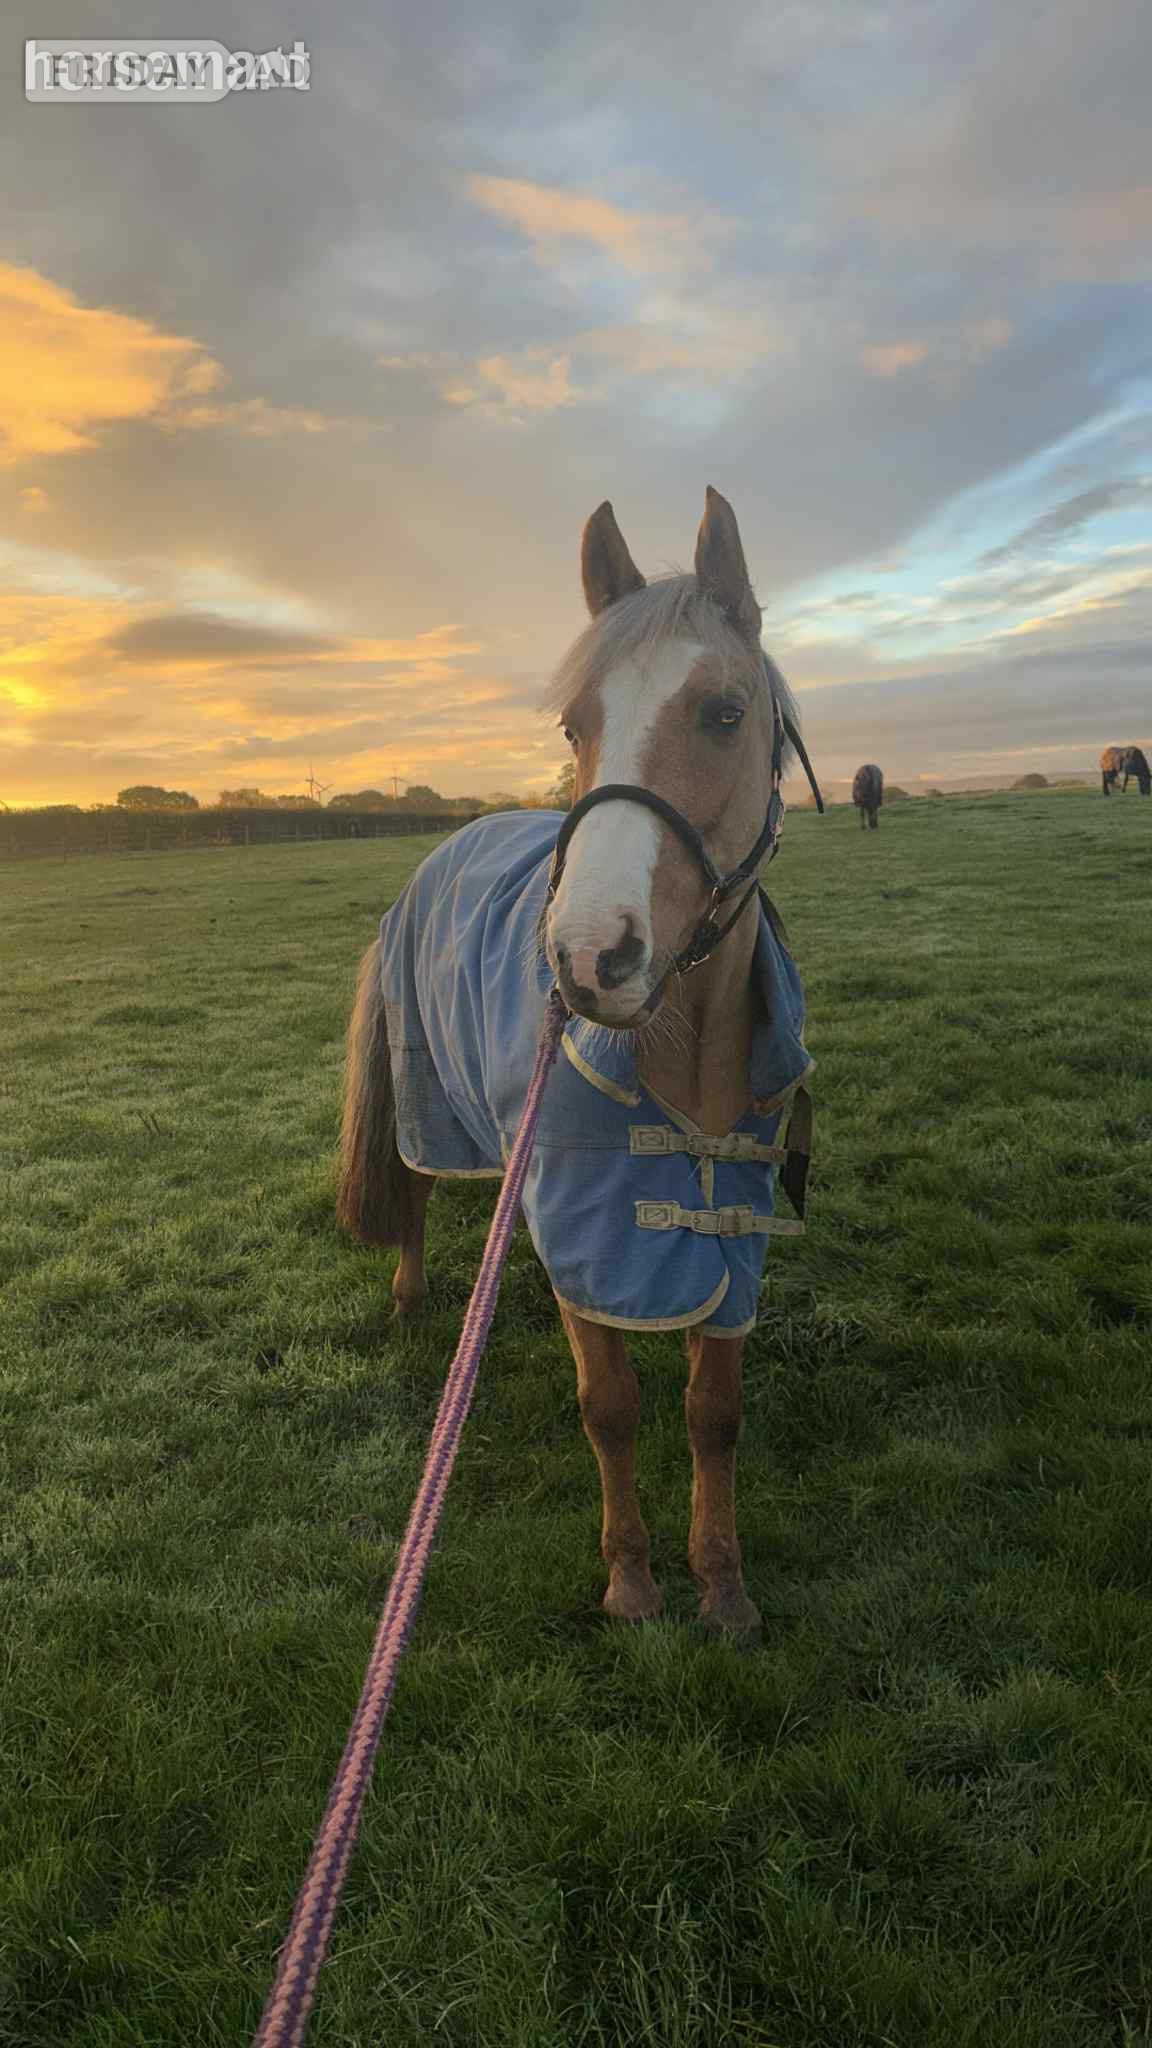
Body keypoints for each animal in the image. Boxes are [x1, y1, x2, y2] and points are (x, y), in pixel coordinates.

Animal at [338, 489, 816, 1634]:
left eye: (723, 713)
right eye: (574, 725)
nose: (589, 956)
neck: (678, 1050)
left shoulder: (731, 1226)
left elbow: (713, 1411)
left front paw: (721, 1584)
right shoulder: (589, 1222)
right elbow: (611, 1406)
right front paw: (634, 1580)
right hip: (429, 1104)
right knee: (416, 1190)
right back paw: (412, 1297)